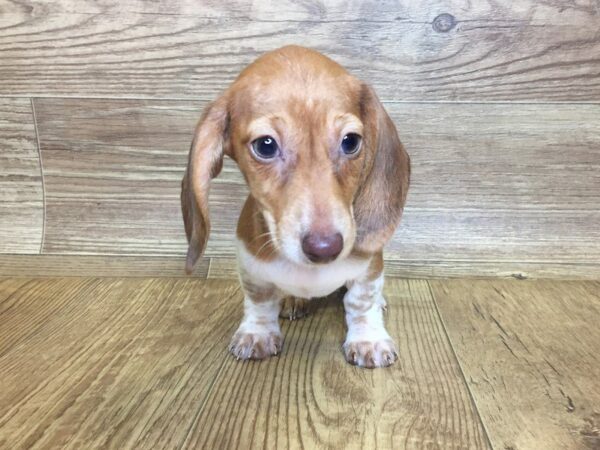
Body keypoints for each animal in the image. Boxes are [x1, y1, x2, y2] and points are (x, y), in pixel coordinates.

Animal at [180, 44, 410, 370]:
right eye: (265, 145)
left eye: (351, 141)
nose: (325, 248)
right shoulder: (251, 266)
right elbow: (259, 300)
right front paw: (258, 332)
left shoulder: (369, 267)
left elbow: (361, 300)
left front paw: (368, 338)